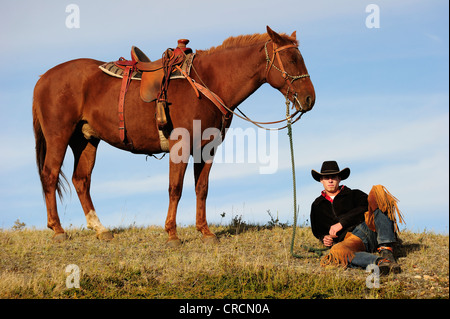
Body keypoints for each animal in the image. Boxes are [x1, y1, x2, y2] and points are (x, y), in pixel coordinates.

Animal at [32, 26, 312, 245]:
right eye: (292, 59)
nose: (310, 98)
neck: (208, 82)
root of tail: (43, 78)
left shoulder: (206, 148)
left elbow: (202, 188)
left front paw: (205, 232)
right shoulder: (181, 146)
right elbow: (175, 188)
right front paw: (172, 234)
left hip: (86, 140)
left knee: (81, 180)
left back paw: (100, 229)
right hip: (59, 137)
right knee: (50, 175)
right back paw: (57, 230)